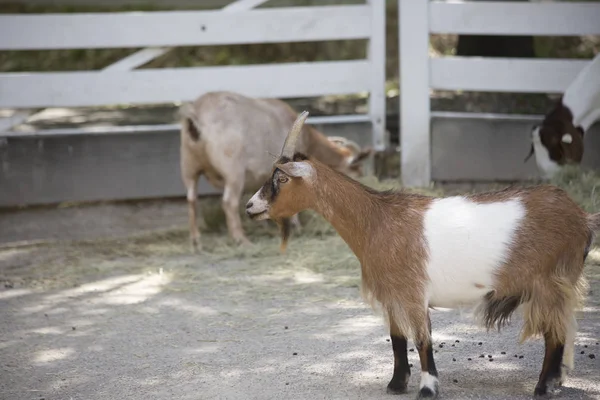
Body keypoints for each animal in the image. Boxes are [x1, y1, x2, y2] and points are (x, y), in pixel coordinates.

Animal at [180, 92, 372, 252]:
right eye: (357, 172)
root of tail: (196, 115)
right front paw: (295, 226)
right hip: (233, 170)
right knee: (229, 202)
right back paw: (241, 240)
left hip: (189, 167)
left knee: (191, 200)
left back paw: (196, 241)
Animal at [244, 111, 596, 398]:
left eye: (282, 177)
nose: (250, 206)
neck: (375, 220)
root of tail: (582, 217)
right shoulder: (393, 296)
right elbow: (398, 339)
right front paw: (396, 384)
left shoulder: (413, 293)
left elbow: (423, 340)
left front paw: (427, 388)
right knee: (563, 327)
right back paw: (556, 380)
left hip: (550, 281)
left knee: (555, 333)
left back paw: (543, 387)